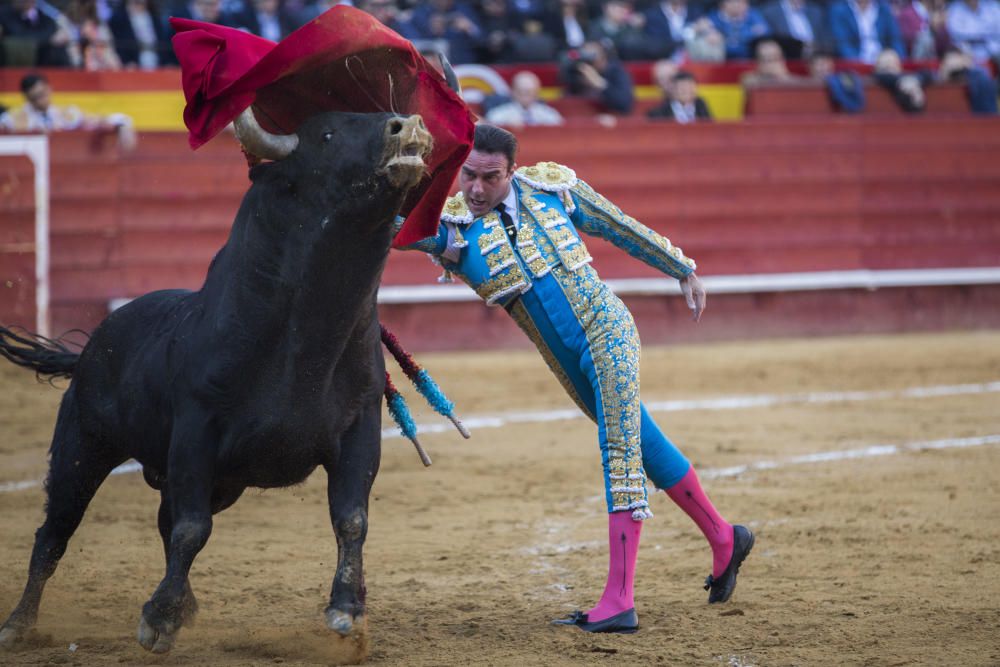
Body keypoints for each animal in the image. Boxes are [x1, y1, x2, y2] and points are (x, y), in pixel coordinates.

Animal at [1, 109, 436, 652]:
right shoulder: (197, 431)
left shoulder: (360, 427)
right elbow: (192, 529)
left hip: (218, 481)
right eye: (327, 134)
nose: (407, 125)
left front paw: (347, 610)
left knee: (162, 522)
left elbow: (351, 518)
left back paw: (182, 604)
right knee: (55, 531)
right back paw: (19, 624)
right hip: (82, 447)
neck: (305, 342)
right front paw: (158, 619)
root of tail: (93, 346)